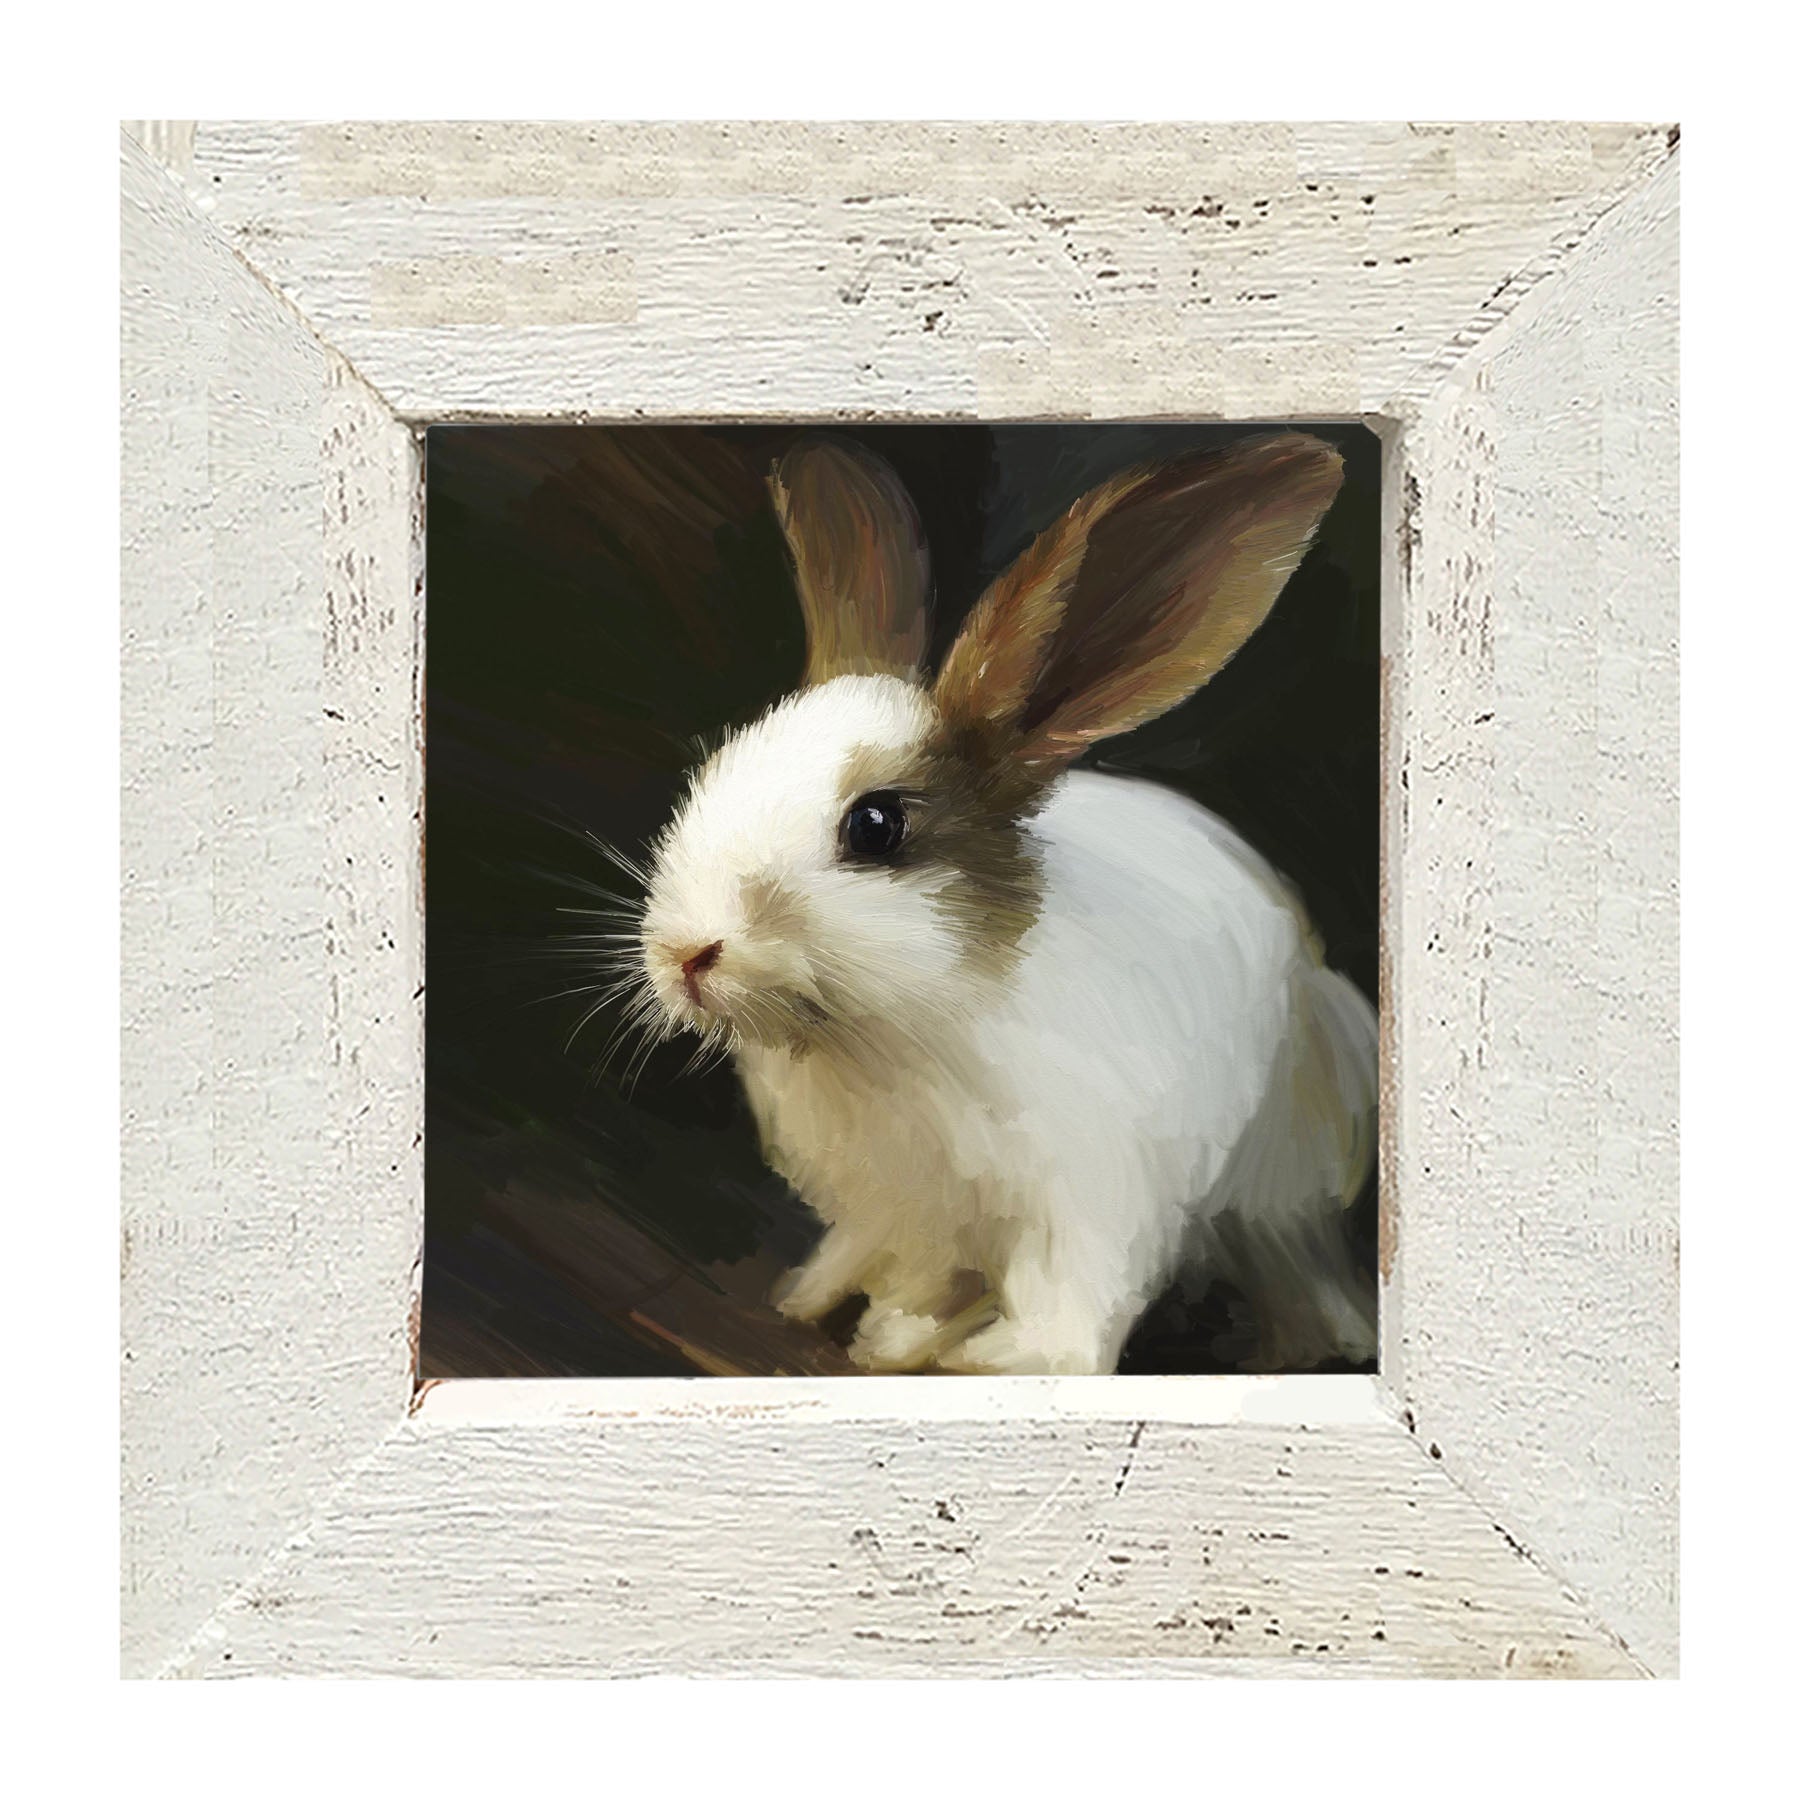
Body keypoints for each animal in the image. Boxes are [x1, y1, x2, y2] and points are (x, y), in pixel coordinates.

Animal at [630, 431, 1378, 1375]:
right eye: (718, 767)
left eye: (876, 826)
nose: (685, 953)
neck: (892, 1035)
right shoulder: (900, 1212)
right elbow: (914, 1277)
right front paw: (880, 1331)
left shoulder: (1092, 1203)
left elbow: (1071, 1311)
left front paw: (993, 1360)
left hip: (1284, 1187)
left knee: (1298, 1271)